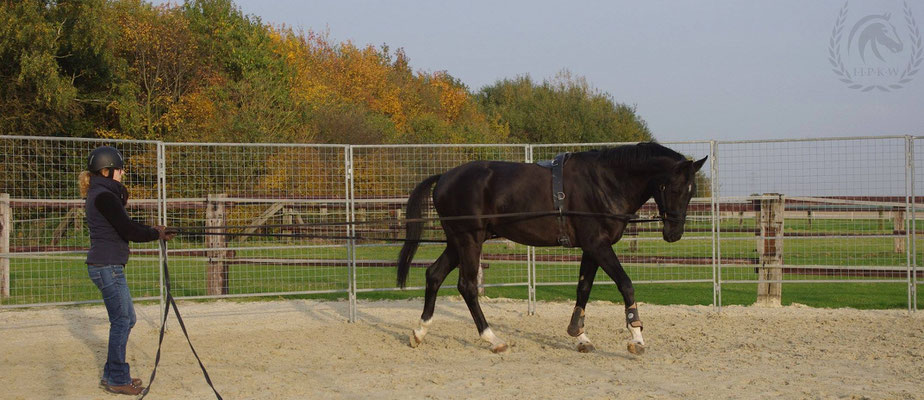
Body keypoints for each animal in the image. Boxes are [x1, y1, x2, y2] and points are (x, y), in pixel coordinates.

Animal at [398, 141, 708, 354]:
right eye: (673, 188)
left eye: (691, 191)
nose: (674, 233)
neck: (605, 182)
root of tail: (444, 177)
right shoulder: (598, 245)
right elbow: (626, 284)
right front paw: (637, 337)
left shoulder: (591, 248)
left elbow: (583, 288)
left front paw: (579, 334)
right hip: (469, 240)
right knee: (467, 286)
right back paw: (492, 338)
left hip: (457, 242)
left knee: (434, 275)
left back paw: (420, 332)